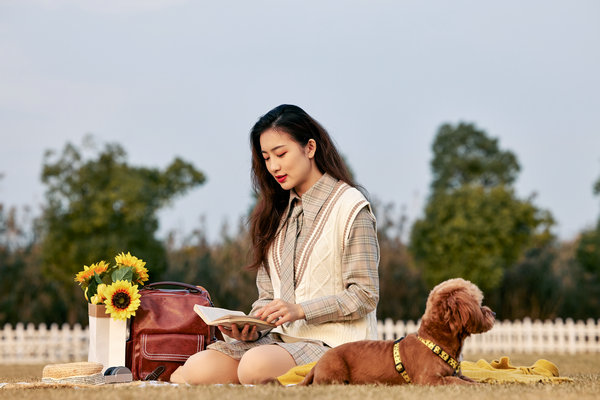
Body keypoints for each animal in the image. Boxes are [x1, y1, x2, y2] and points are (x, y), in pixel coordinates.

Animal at [300, 278, 496, 384]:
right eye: (479, 304)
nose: (493, 313)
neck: (434, 340)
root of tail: (317, 364)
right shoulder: (428, 379)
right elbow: (456, 381)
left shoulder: (457, 375)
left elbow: (468, 379)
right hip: (336, 373)